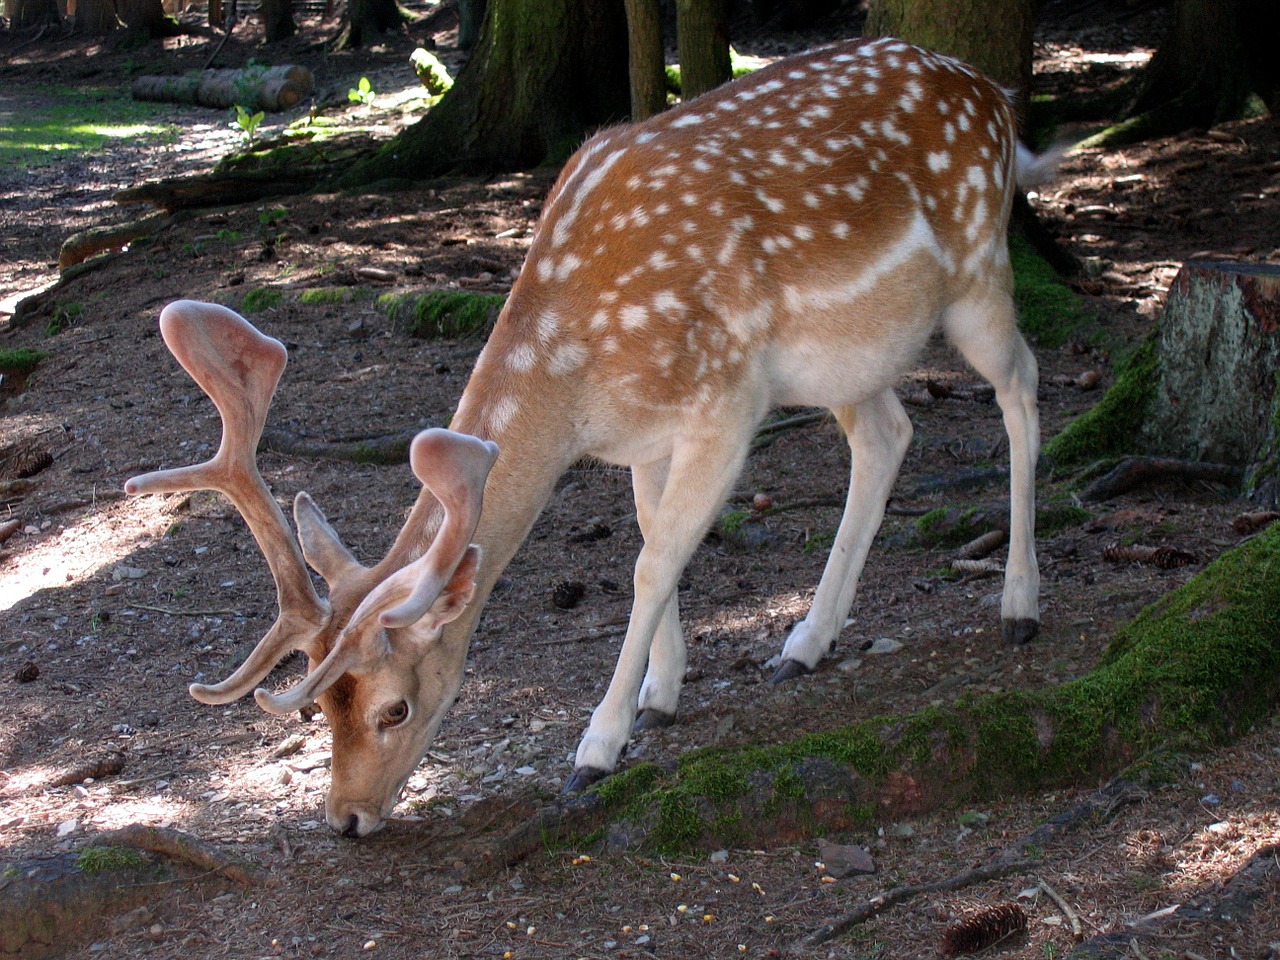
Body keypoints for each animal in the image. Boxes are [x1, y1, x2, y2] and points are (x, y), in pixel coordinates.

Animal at [127, 35, 1049, 834]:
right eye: (322, 704)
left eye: (394, 706)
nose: (346, 819)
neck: (580, 381)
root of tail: (994, 96)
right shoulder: (646, 435)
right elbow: (651, 541)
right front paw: (661, 694)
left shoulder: (725, 398)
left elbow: (650, 563)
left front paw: (598, 746)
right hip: (851, 356)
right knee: (889, 434)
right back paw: (806, 643)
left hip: (977, 269)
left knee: (1021, 386)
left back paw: (1019, 605)